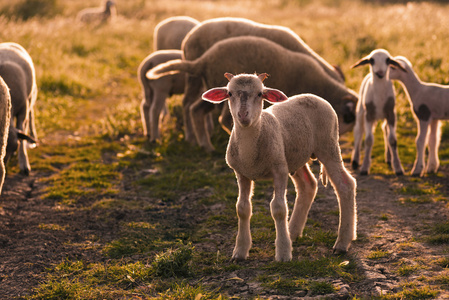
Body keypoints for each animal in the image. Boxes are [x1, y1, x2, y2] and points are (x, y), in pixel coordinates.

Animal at [0, 43, 38, 177]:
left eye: (14, 147)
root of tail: (10, 43)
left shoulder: (23, 112)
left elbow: (22, 134)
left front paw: (24, 163)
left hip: (32, 95)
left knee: (32, 114)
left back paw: (33, 135)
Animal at [201, 73, 356, 262]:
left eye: (260, 94)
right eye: (229, 93)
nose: (243, 115)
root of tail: (314, 96)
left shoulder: (279, 170)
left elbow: (279, 209)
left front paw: (283, 253)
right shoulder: (241, 173)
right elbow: (242, 208)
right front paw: (240, 251)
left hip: (328, 145)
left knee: (345, 185)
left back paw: (342, 243)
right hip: (293, 156)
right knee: (308, 185)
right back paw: (292, 232)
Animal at [350, 48, 406, 176]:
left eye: (388, 60)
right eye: (371, 60)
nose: (380, 73)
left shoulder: (391, 114)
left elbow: (393, 140)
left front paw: (398, 167)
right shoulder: (369, 115)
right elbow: (368, 140)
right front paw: (365, 167)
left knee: (385, 129)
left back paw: (389, 158)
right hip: (361, 111)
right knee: (359, 132)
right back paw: (355, 160)